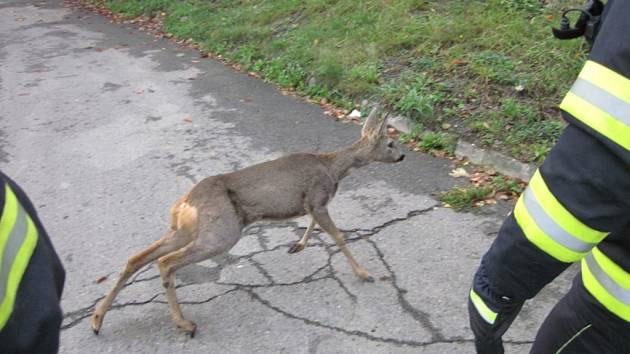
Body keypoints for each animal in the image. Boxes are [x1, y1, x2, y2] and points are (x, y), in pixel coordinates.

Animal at [91, 107, 408, 338]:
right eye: (391, 142)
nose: (403, 155)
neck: (334, 169)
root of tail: (185, 203)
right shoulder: (317, 198)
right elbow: (339, 236)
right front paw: (364, 273)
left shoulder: (312, 204)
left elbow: (312, 226)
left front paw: (299, 245)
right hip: (221, 232)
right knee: (165, 262)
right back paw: (184, 324)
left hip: (185, 229)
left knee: (137, 257)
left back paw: (97, 320)